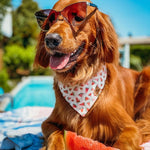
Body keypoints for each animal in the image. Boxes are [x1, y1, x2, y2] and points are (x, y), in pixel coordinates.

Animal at [34, 0, 150, 149]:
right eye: (50, 19)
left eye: (78, 18)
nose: (50, 39)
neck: (79, 79)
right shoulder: (48, 122)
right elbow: (55, 133)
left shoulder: (130, 127)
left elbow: (123, 142)